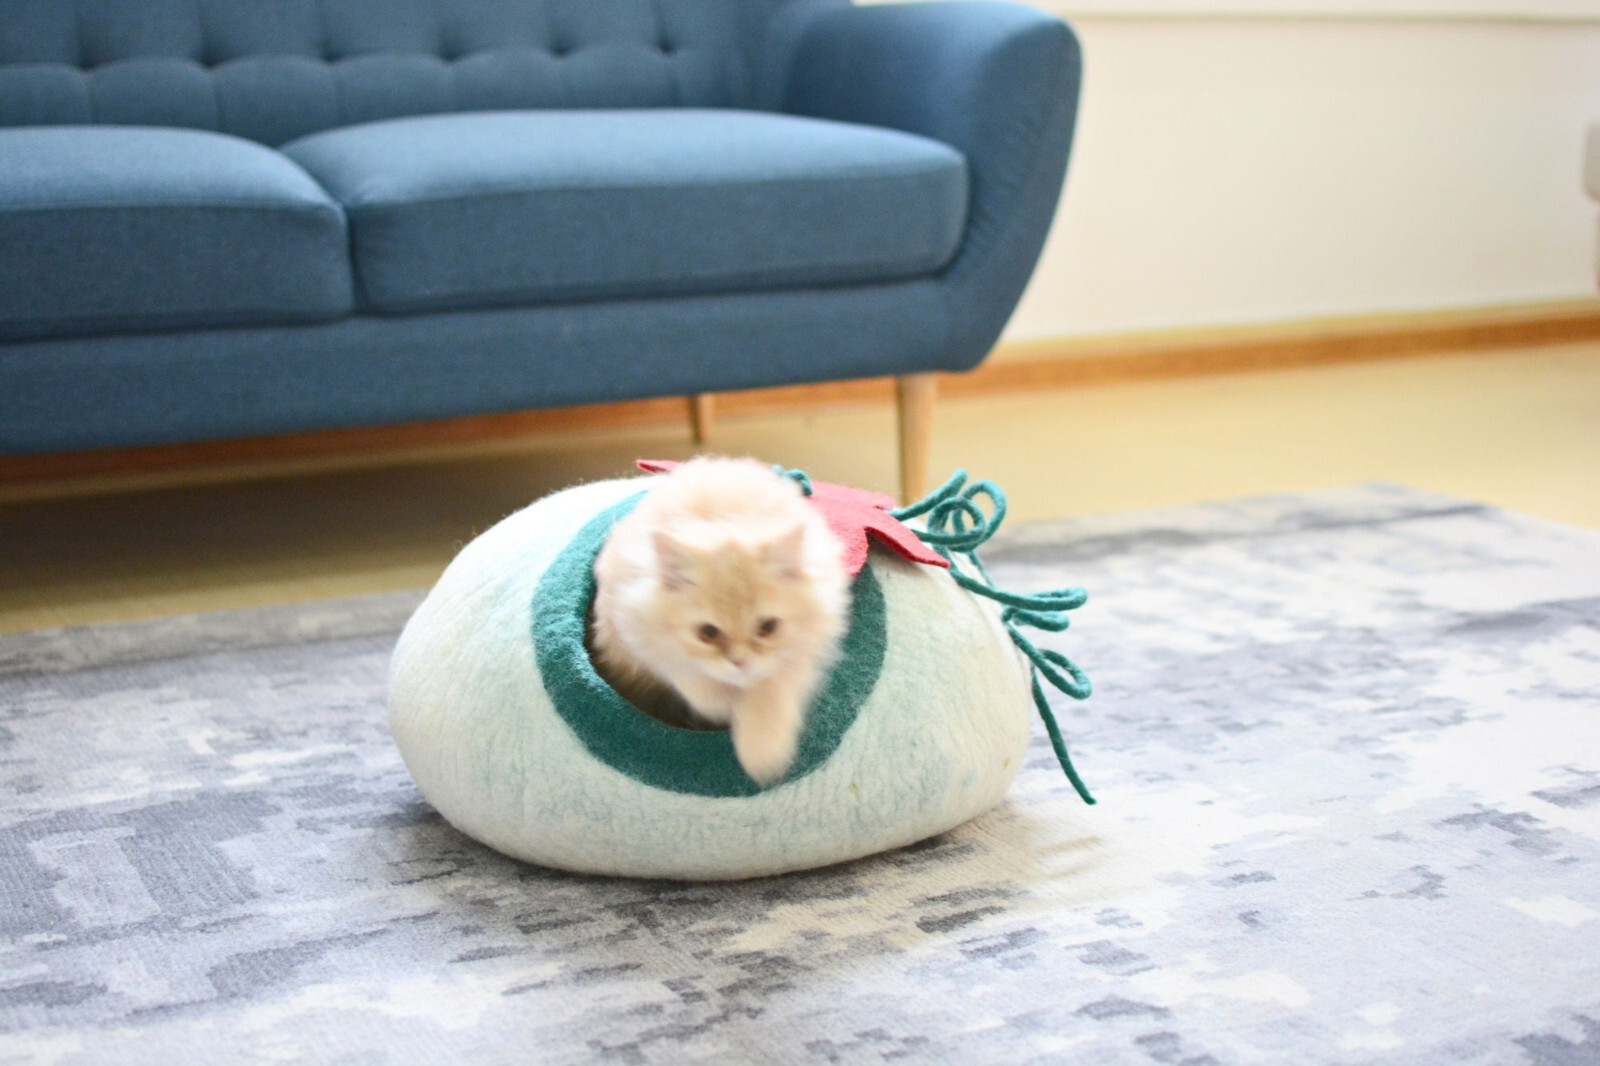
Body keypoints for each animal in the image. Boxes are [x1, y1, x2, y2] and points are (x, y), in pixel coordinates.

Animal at [589, 457, 851, 785]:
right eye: (708, 633)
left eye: (767, 628)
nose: (738, 662)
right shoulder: (639, 639)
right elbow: (697, 683)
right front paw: (723, 708)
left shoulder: (804, 650)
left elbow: (769, 692)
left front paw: (764, 755)